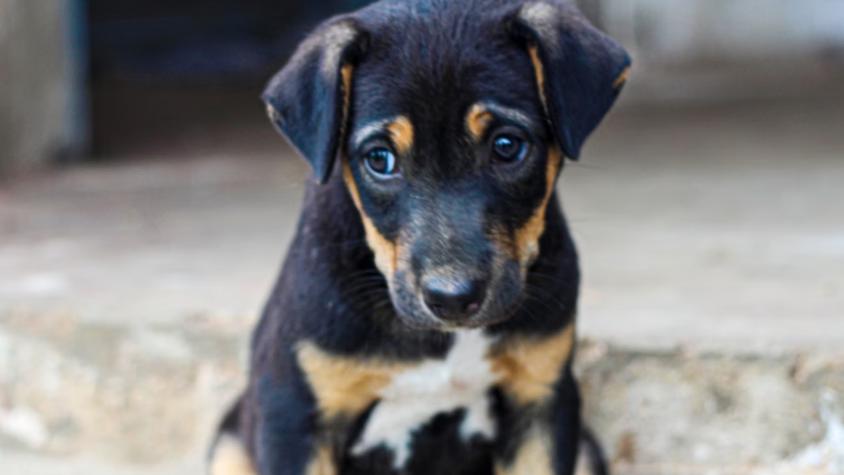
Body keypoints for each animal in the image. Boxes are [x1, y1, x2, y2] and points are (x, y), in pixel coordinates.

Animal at [209, 0, 628, 475]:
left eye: (507, 146)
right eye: (379, 159)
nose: (452, 299)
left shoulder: (541, 400)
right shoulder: (294, 415)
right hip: (230, 446)